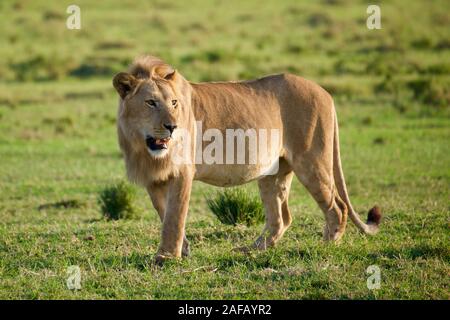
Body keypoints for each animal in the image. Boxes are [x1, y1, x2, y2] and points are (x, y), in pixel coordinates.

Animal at [111, 55, 380, 264]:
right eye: (151, 102)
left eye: (174, 103)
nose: (173, 127)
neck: (145, 149)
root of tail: (325, 92)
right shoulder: (153, 181)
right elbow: (165, 214)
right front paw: (182, 250)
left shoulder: (182, 173)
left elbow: (174, 218)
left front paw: (166, 257)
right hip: (273, 172)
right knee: (281, 217)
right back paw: (251, 250)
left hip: (312, 162)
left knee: (337, 207)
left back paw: (326, 246)